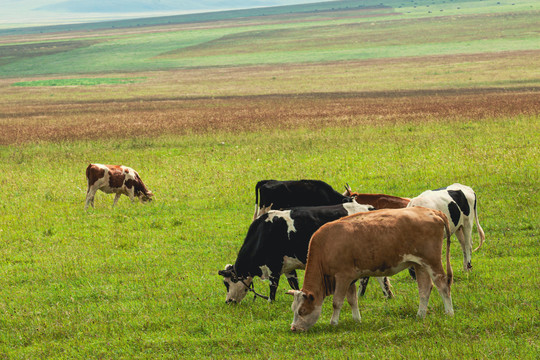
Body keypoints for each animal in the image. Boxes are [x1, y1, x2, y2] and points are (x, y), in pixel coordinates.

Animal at [218, 202, 392, 304]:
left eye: (228, 283)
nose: (228, 301)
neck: (264, 232)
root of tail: (369, 208)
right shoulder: (288, 268)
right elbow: (294, 284)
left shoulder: (274, 266)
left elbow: (273, 287)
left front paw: (270, 303)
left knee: (375, 278)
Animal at [288, 205, 454, 332]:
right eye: (293, 309)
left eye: (302, 311)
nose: (294, 328)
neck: (326, 245)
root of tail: (432, 211)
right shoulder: (350, 278)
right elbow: (352, 300)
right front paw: (357, 320)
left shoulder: (342, 276)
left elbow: (337, 302)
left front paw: (333, 323)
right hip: (420, 264)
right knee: (424, 290)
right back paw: (420, 315)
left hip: (432, 261)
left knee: (442, 285)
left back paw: (449, 312)